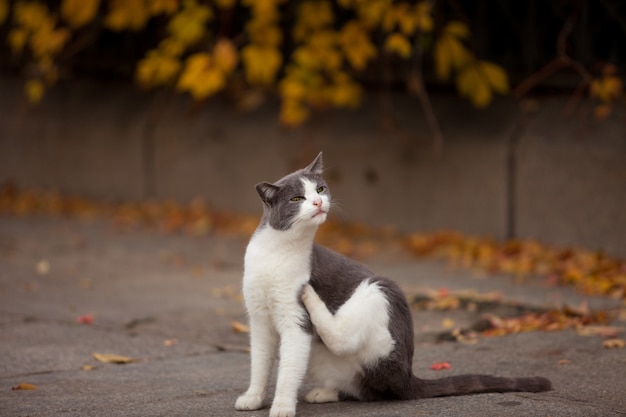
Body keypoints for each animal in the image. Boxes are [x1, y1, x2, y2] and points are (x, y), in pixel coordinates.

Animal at [232, 153, 548, 416]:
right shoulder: (259, 319)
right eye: (297, 198)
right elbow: (260, 361)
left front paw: (282, 406)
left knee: (345, 340)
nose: (319, 202)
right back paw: (325, 392)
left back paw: (312, 297)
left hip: (379, 293)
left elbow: (288, 368)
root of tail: (407, 375)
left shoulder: (295, 320)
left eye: (320, 190)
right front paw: (253, 398)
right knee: (365, 390)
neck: (278, 253)